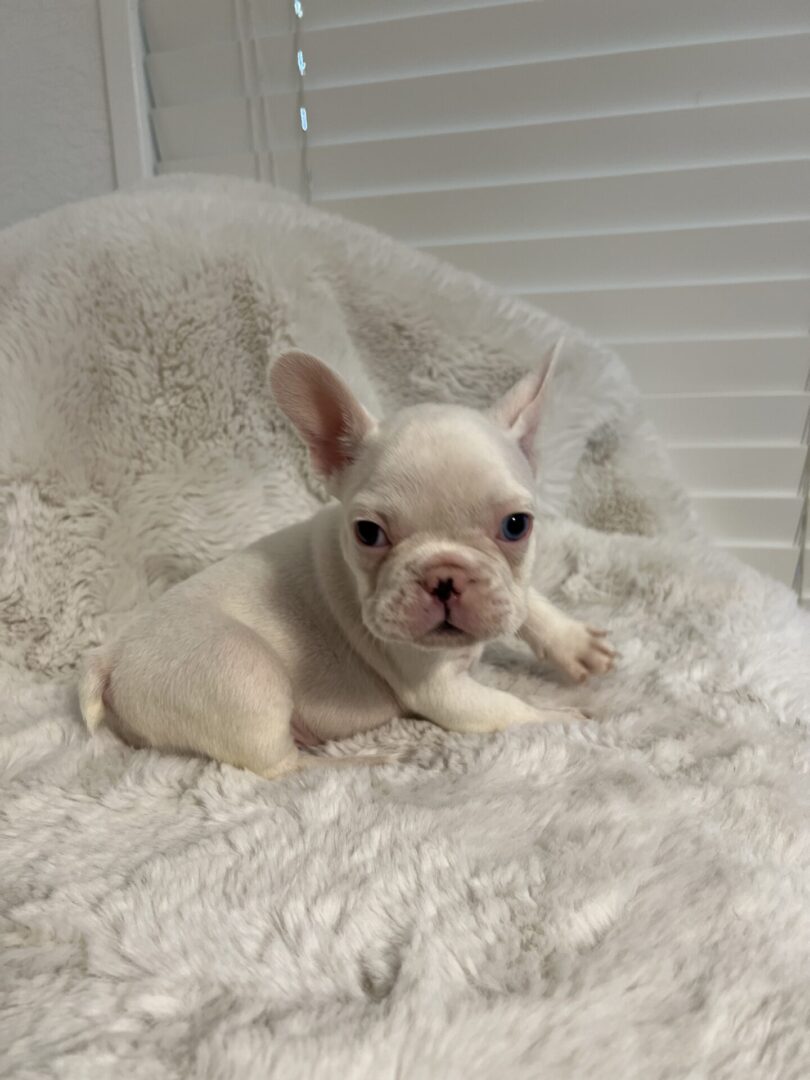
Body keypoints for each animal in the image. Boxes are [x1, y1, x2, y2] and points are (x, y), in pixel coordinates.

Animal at [81, 345, 613, 777]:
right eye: (368, 532)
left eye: (517, 526)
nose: (444, 575)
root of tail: (110, 656)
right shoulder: (443, 693)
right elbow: (510, 709)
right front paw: (563, 717)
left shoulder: (510, 591)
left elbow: (529, 603)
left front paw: (574, 643)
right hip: (243, 672)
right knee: (280, 768)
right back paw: (365, 760)